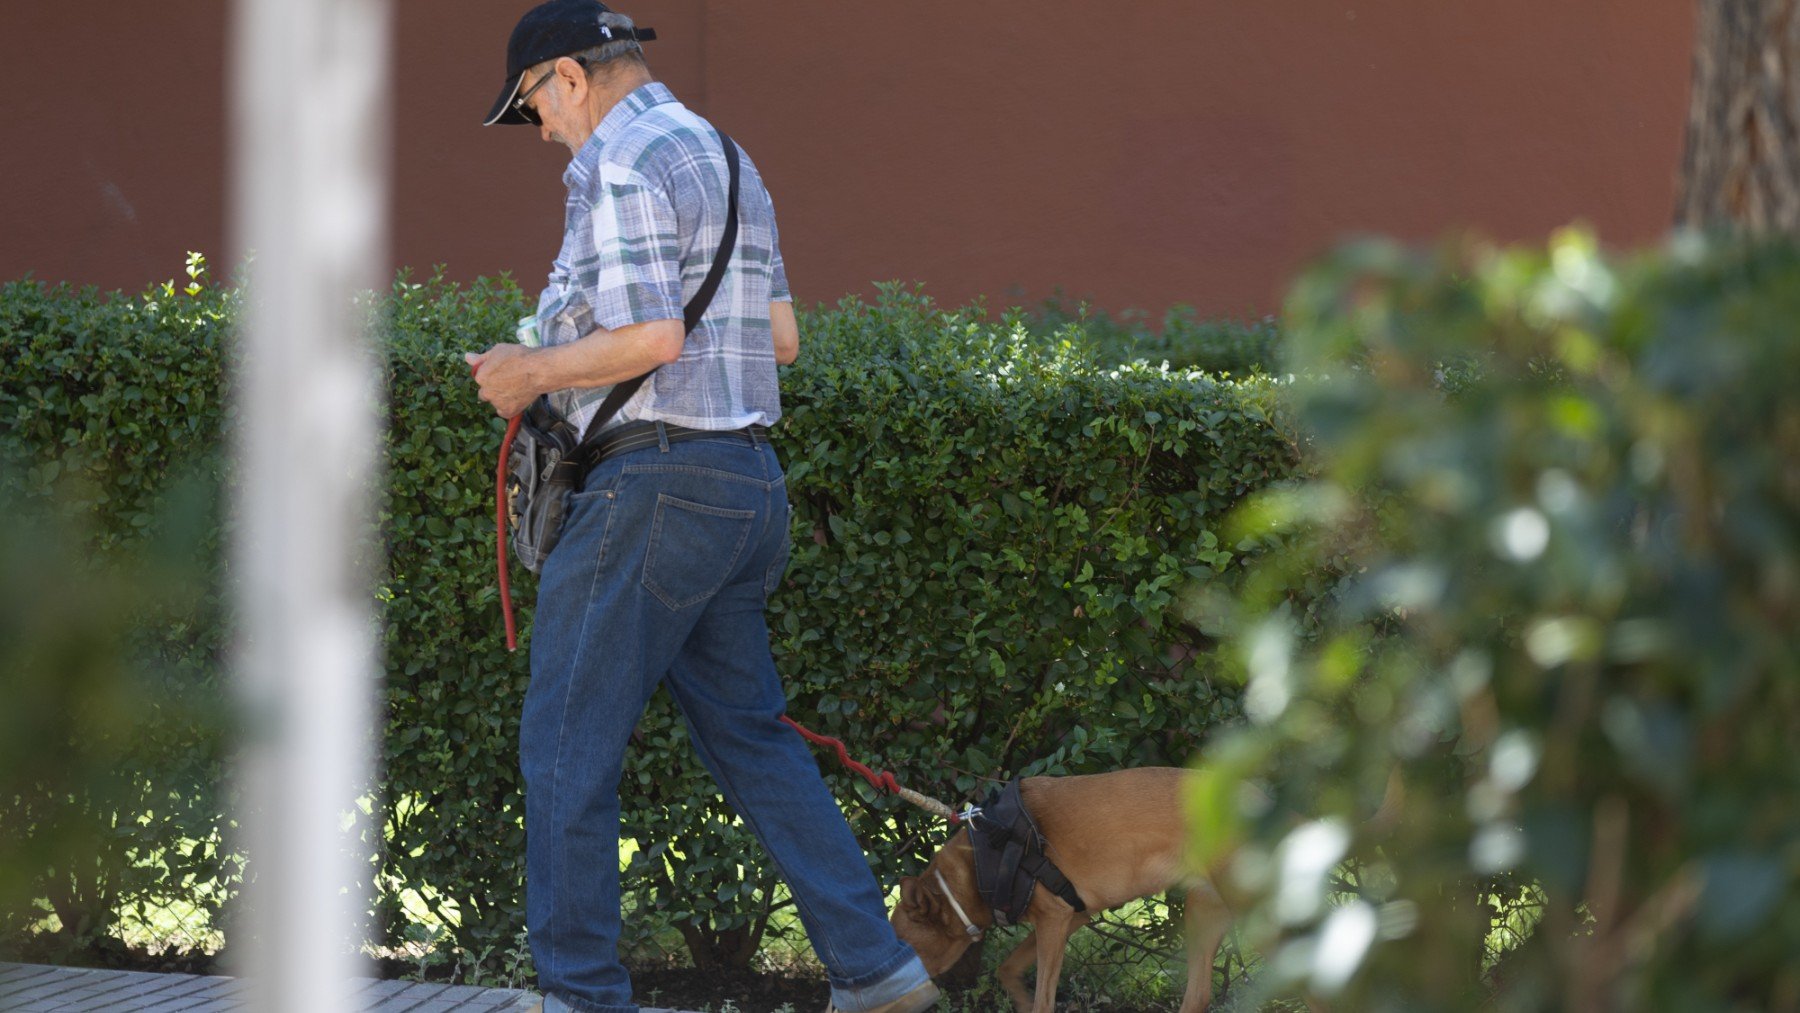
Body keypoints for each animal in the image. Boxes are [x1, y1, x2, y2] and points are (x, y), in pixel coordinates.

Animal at [889, 770, 1238, 1013]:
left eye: (903, 950)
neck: (980, 861)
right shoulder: (1070, 917)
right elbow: (1007, 968)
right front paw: (1020, 1000)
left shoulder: (1053, 920)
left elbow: (1043, 1001)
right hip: (1202, 914)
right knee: (1198, 996)